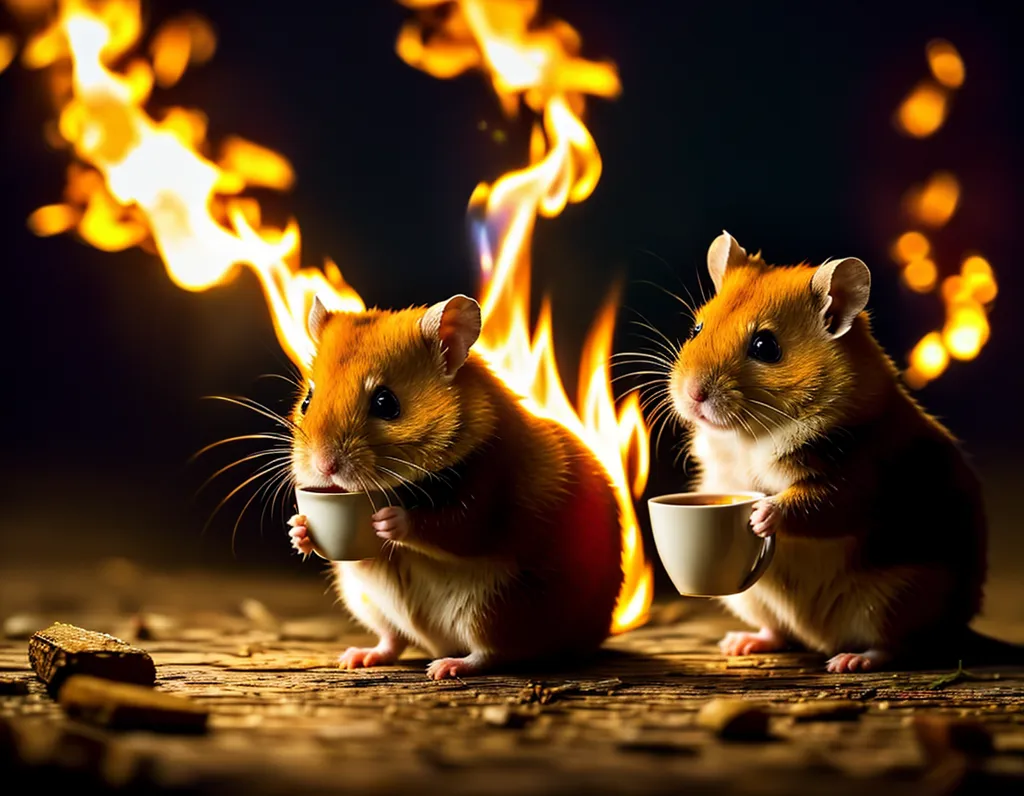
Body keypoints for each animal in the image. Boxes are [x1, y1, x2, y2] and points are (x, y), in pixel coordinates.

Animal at [284, 290, 626, 676]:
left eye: (386, 403)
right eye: (307, 401)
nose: (323, 466)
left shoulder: (489, 491)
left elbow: (452, 526)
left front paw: (387, 520)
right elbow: (356, 556)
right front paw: (298, 528)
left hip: (493, 609)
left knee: (491, 654)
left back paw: (446, 668)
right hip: (368, 603)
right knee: (393, 639)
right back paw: (357, 657)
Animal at [663, 228, 991, 672]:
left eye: (765, 346)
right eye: (696, 329)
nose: (693, 394)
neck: (753, 434)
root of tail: (821, 639)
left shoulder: (855, 478)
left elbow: (813, 504)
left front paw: (761, 515)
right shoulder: (722, 475)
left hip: (896, 599)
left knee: (898, 647)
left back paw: (850, 661)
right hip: (752, 599)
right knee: (780, 632)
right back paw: (740, 644)